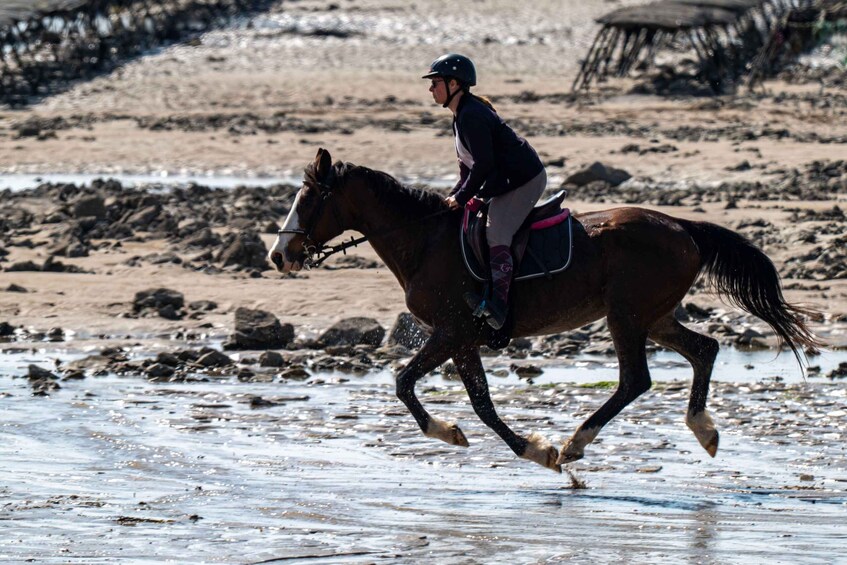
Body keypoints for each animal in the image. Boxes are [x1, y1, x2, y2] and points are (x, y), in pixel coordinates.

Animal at [268, 148, 819, 473]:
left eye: (310, 199)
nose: (279, 255)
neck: (424, 240)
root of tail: (683, 227)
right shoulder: (463, 339)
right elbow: (482, 405)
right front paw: (526, 448)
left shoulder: (450, 331)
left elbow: (406, 383)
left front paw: (508, 446)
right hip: (654, 315)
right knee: (703, 349)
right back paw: (703, 430)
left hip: (626, 315)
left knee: (635, 380)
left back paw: (577, 441)